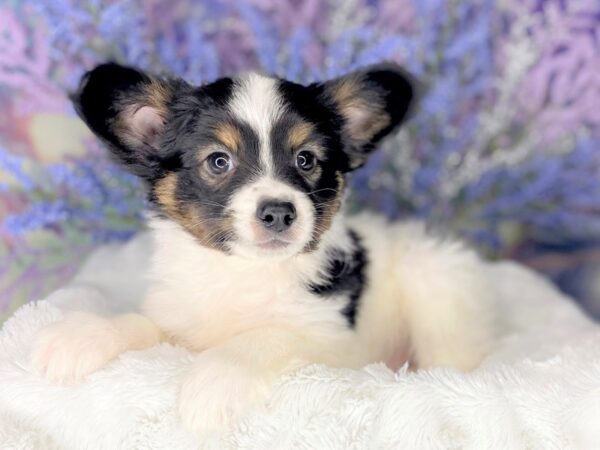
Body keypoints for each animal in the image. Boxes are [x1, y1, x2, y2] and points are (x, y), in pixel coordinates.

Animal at [30, 63, 496, 436]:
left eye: (306, 159)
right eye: (219, 161)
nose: (279, 212)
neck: (243, 271)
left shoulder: (332, 341)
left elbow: (266, 336)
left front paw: (213, 384)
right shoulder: (181, 316)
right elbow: (142, 322)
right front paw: (83, 335)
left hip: (436, 286)